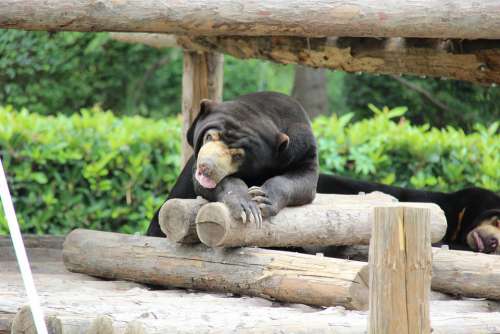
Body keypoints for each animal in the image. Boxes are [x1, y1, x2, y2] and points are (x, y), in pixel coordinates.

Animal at [146, 92, 316, 237]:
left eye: (238, 155)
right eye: (209, 136)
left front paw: (262, 198)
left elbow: (305, 180)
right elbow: (207, 185)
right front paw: (245, 206)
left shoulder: (303, 148)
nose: (205, 167)